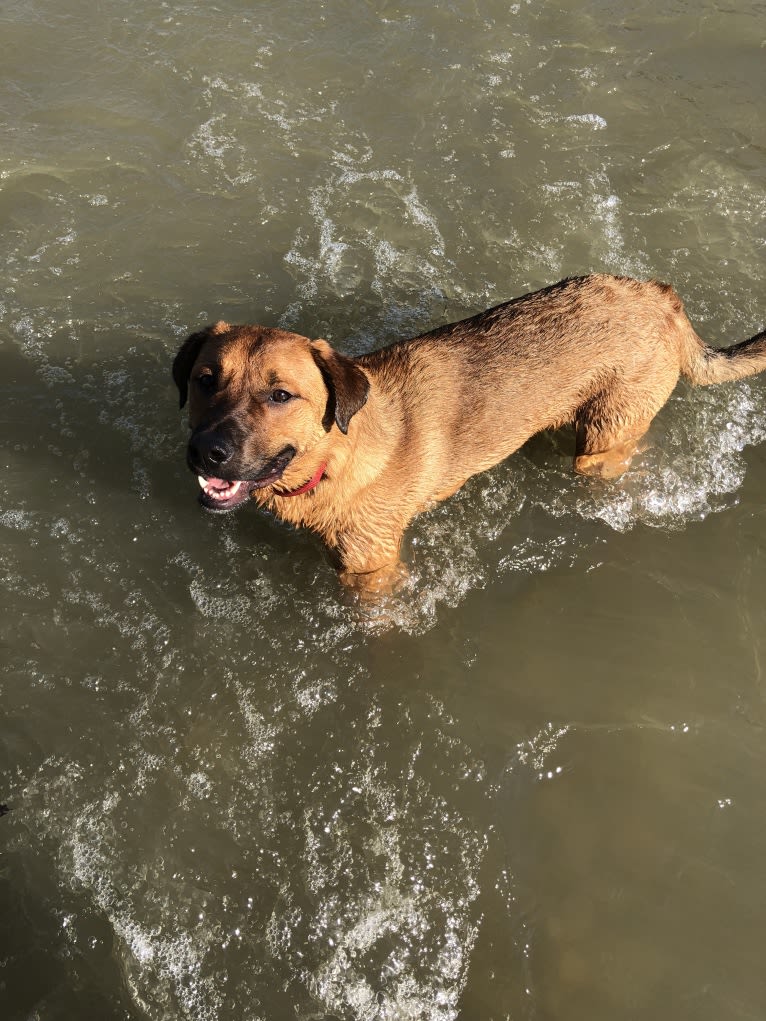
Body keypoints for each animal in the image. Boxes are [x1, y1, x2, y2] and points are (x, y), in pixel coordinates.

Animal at [173, 275, 766, 600]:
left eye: (280, 395)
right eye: (206, 380)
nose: (208, 452)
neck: (338, 453)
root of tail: (662, 297)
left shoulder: (373, 570)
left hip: (606, 433)